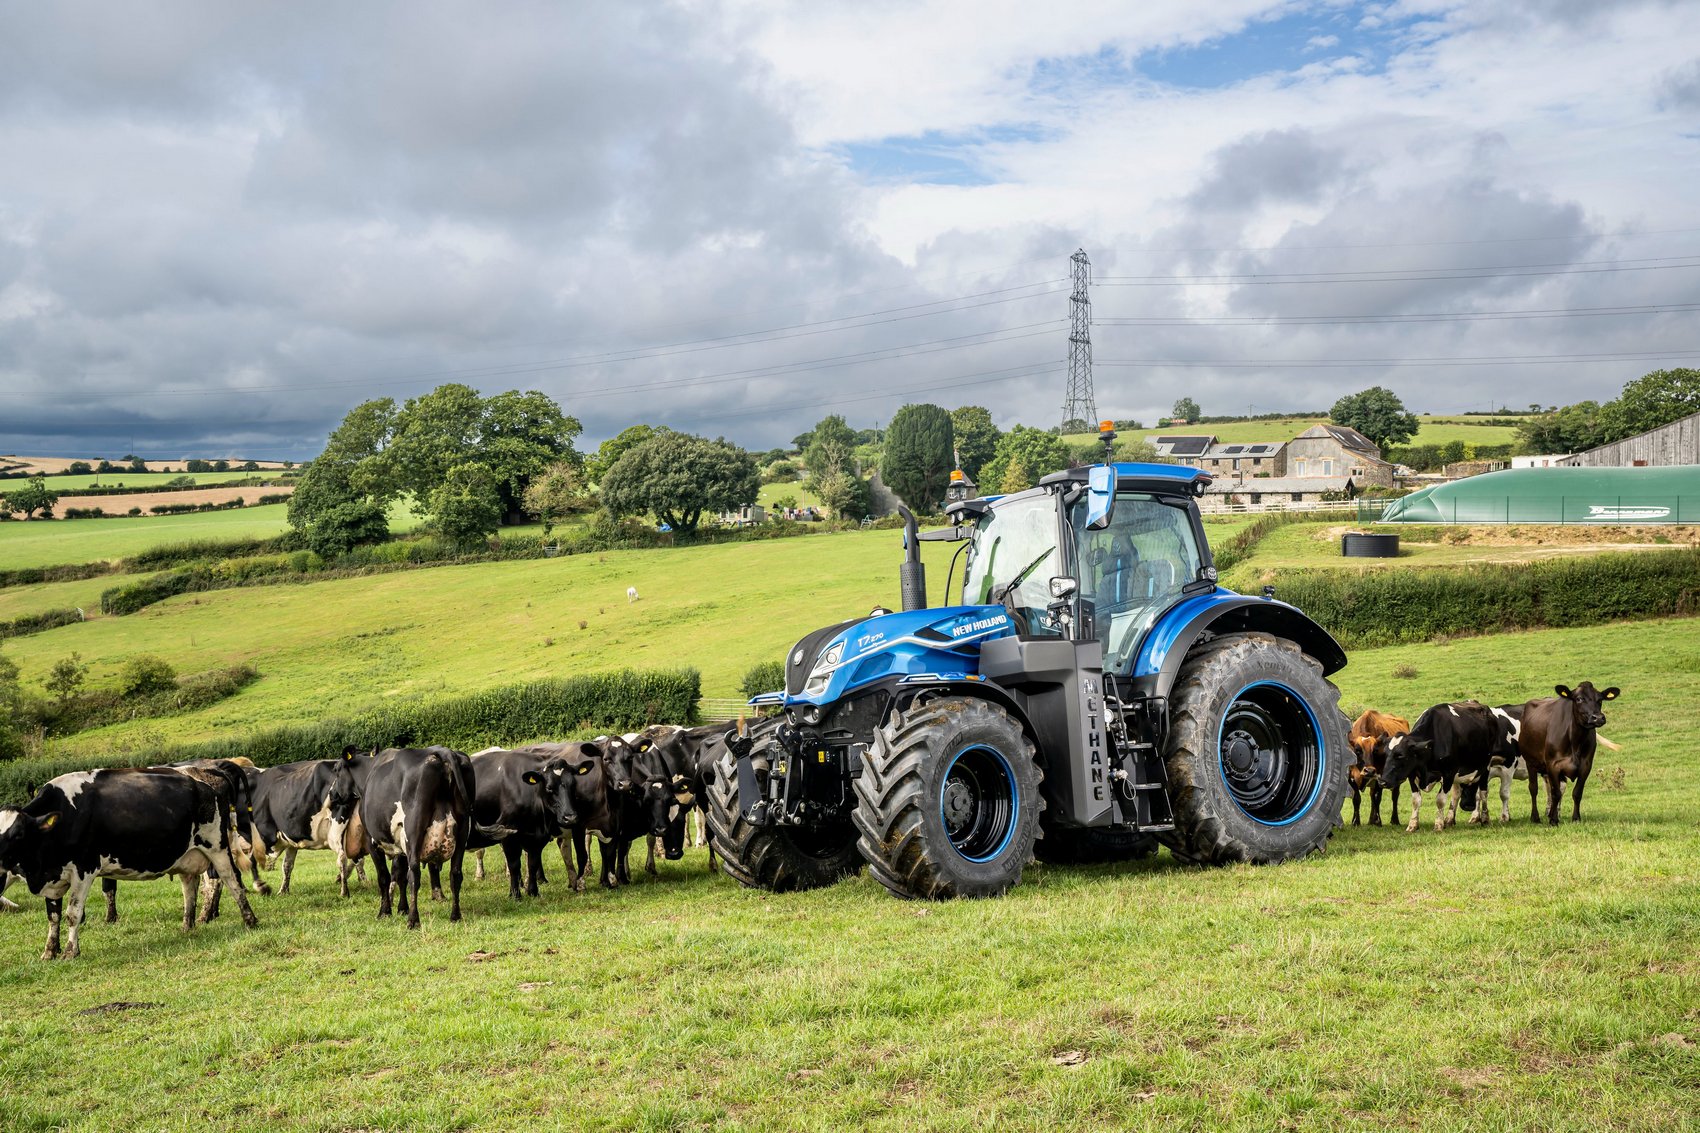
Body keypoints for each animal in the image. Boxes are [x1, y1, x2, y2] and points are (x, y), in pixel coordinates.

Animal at [0, 762, 256, 959]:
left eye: (18, 834)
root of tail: (206, 769)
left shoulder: (84, 869)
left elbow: (73, 913)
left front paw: (71, 951)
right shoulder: (52, 877)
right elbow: (53, 916)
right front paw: (49, 951)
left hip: (217, 846)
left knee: (231, 880)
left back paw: (249, 920)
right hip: (187, 854)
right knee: (189, 887)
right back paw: (187, 925)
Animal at [351, 745, 472, 925]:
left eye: (337, 770)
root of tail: (443, 751)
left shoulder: (371, 841)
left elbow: (385, 877)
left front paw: (385, 911)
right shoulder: (401, 846)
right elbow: (400, 876)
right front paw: (402, 908)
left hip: (414, 830)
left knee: (414, 873)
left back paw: (413, 920)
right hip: (463, 831)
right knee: (455, 873)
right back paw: (455, 916)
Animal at [1523, 680, 1611, 819]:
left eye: (1600, 699)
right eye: (1579, 699)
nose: (1598, 717)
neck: (1575, 741)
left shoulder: (1586, 766)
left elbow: (1576, 793)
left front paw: (1575, 818)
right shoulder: (1553, 765)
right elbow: (1555, 793)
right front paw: (1554, 820)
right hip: (1530, 762)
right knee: (1533, 789)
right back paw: (1535, 817)